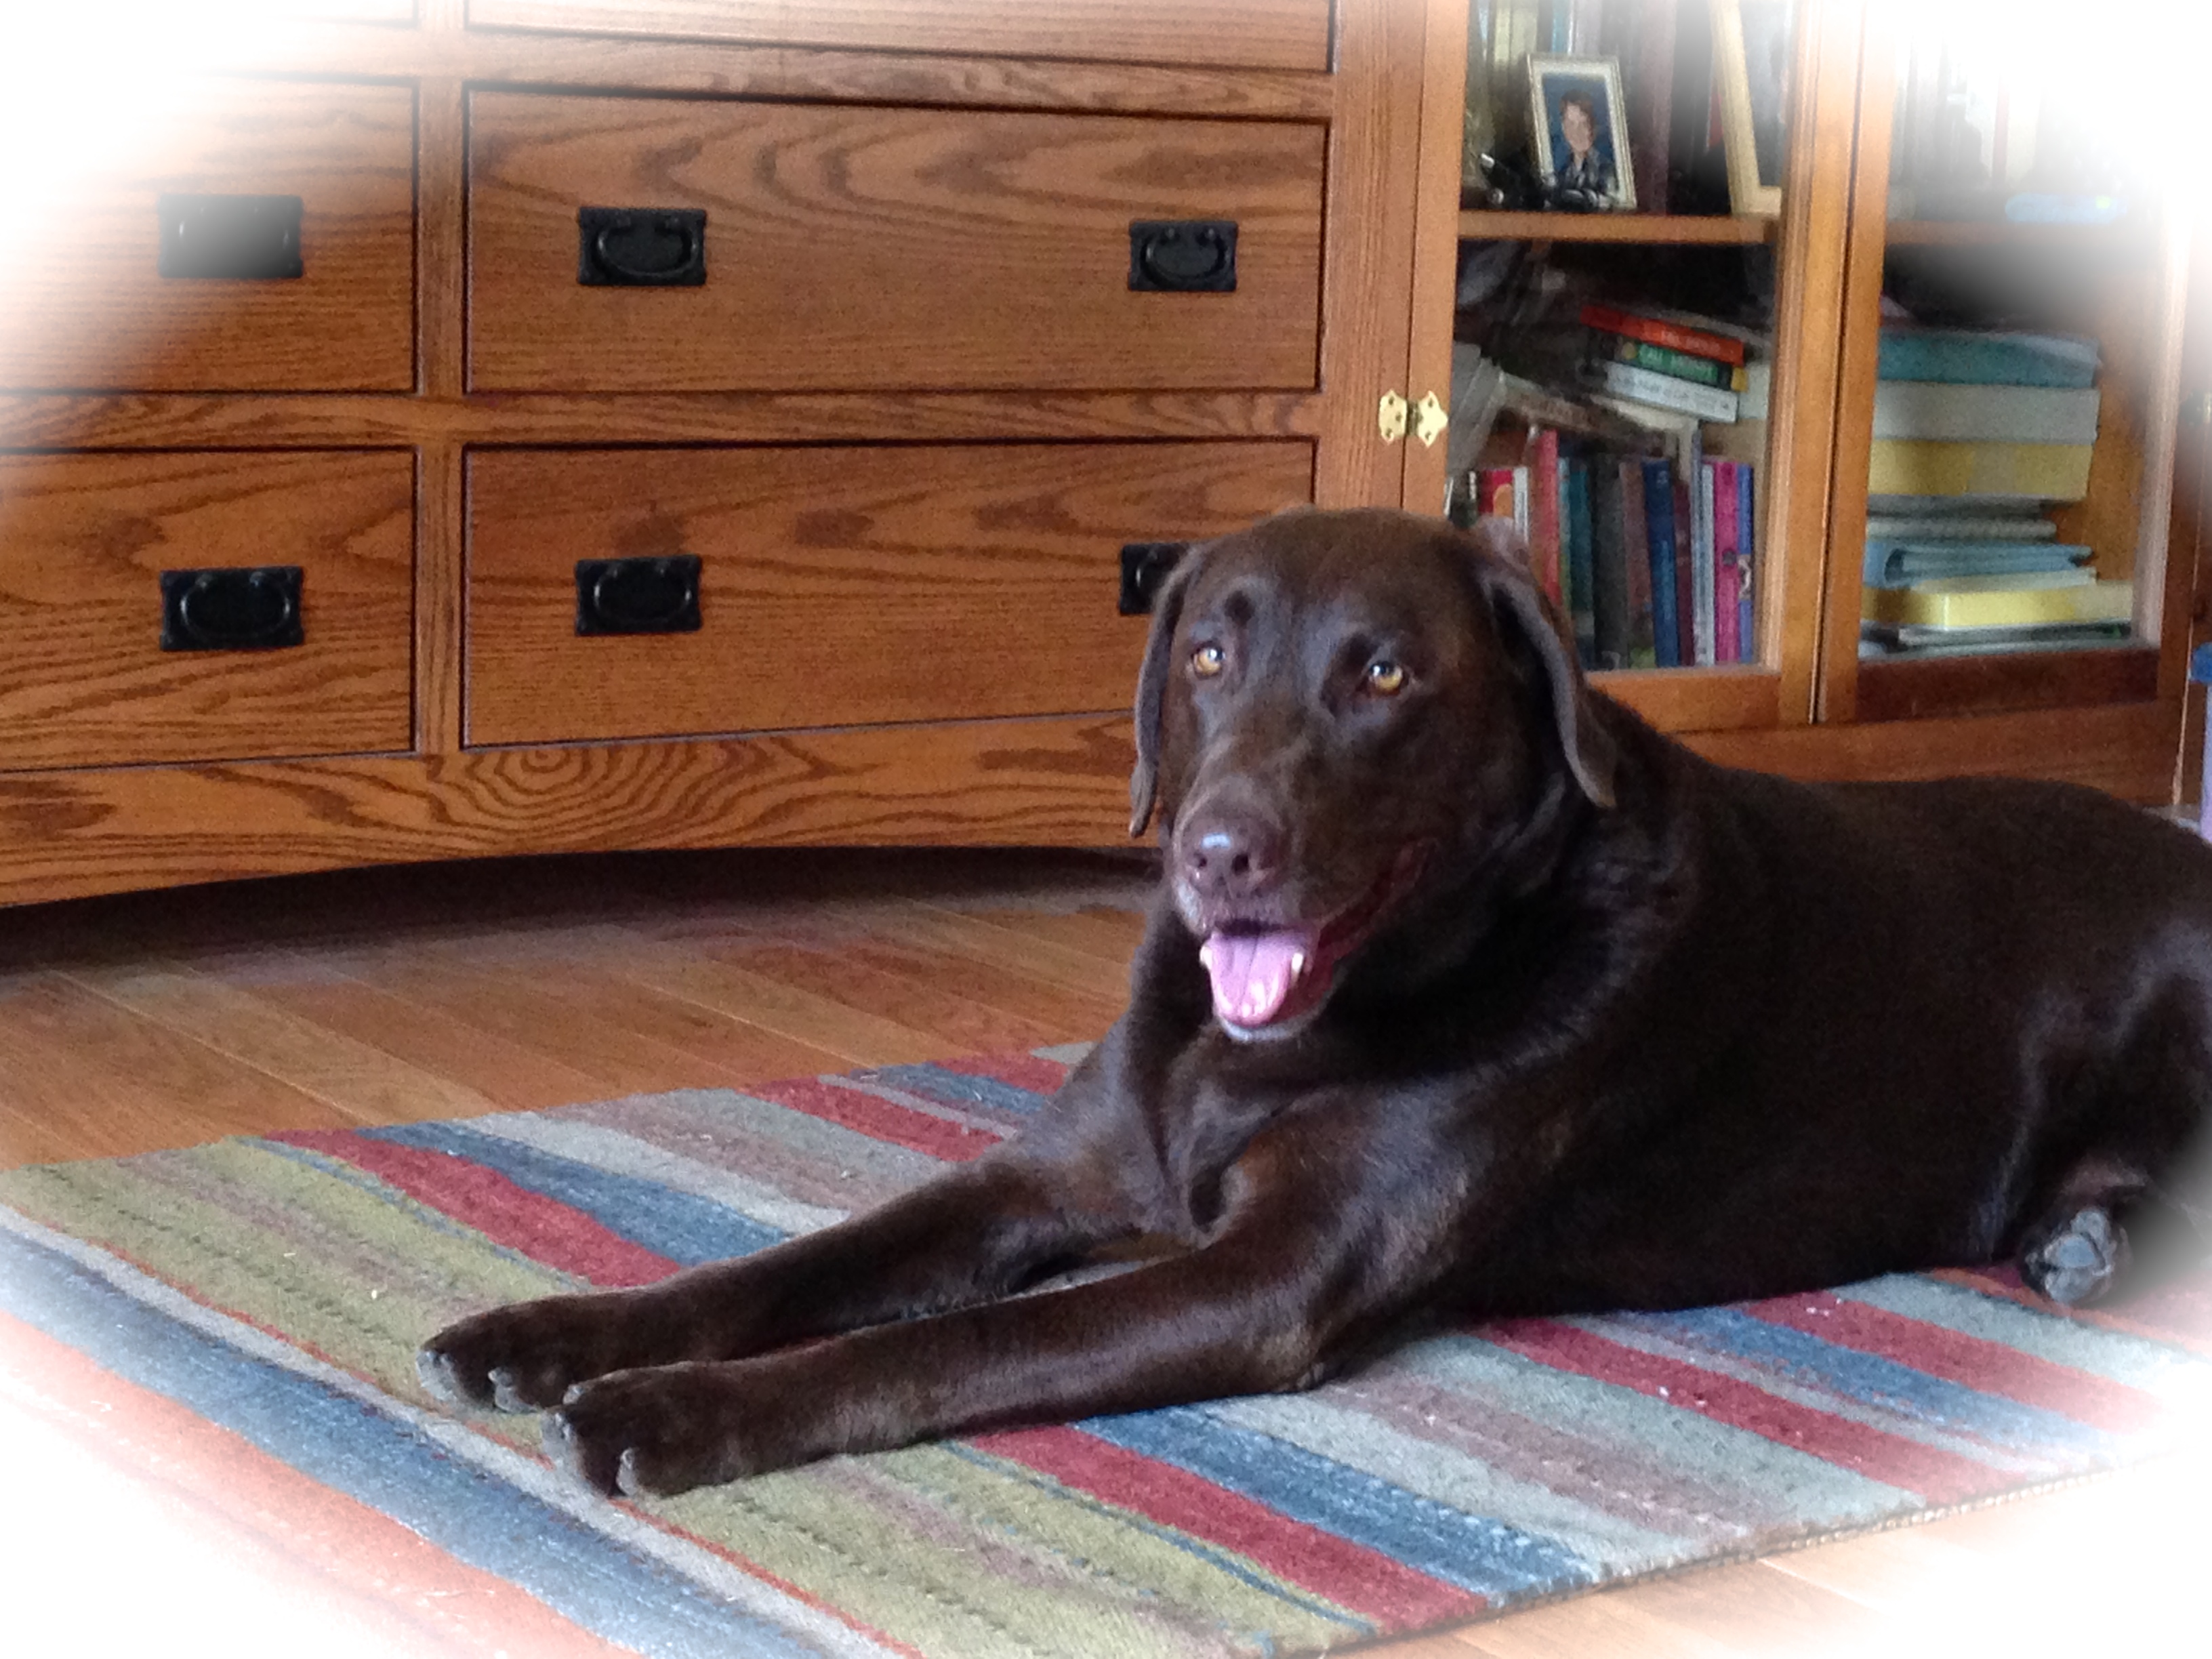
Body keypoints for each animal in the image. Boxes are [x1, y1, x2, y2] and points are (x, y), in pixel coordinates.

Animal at [420, 506, 2212, 1498]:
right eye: (1208, 658)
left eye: (1386, 675)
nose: (1218, 852)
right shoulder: (1051, 1174)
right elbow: (808, 1261)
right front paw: (551, 1334)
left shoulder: (1272, 1276)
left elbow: (958, 1340)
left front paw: (668, 1412)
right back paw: (2078, 1239)